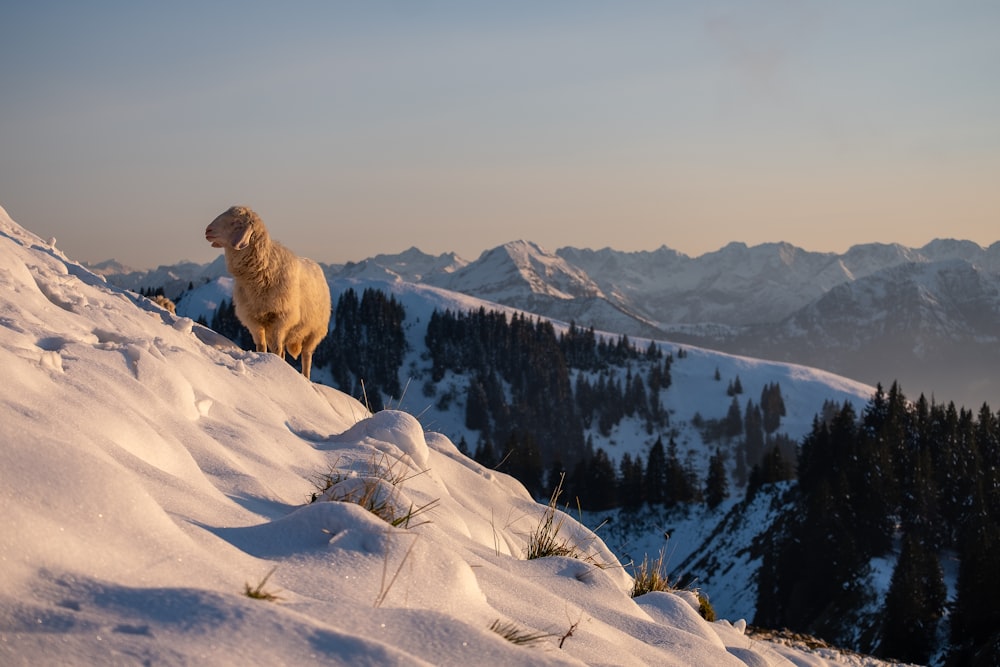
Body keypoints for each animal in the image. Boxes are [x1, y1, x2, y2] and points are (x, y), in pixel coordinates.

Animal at [206, 204, 332, 380]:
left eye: (236, 222)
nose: (208, 230)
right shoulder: (253, 319)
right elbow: (261, 345)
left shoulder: (281, 318)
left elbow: (276, 348)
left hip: (314, 331)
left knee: (306, 356)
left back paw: (306, 378)